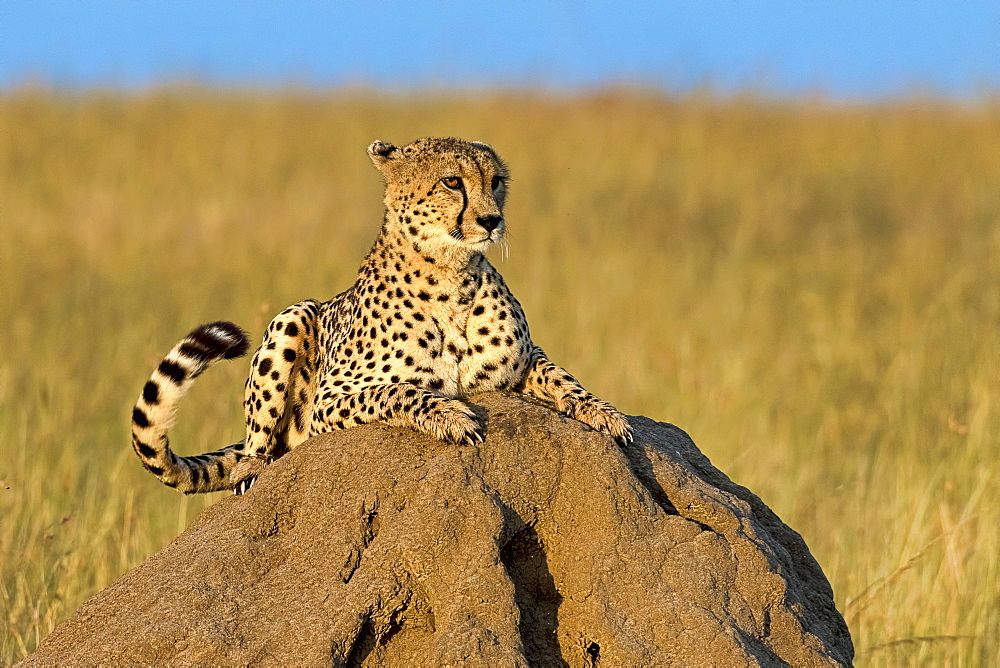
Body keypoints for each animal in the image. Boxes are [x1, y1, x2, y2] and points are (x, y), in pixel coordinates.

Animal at [133, 136, 632, 494]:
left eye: (495, 181)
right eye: (452, 182)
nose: (492, 220)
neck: (449, 272)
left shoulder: (520, 364)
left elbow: (564, 378)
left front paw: (606, 415)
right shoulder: (328, 401)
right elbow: (400, 392)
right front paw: (451, 416)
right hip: (293, 318)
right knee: (253, 454)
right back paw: (252, 471)